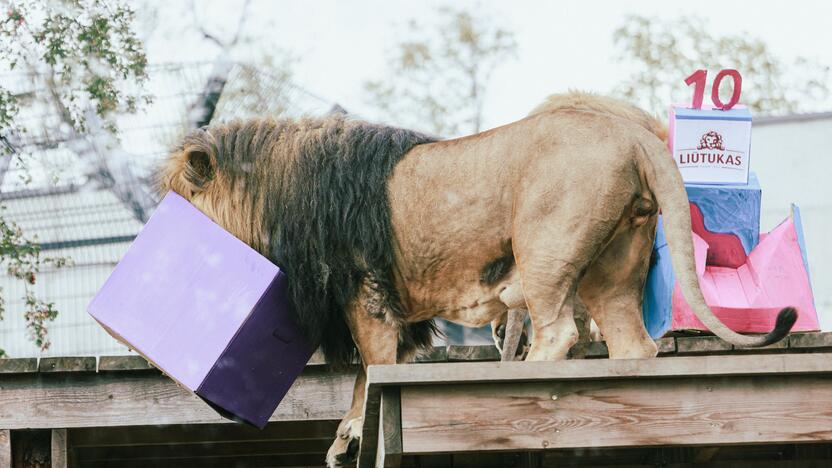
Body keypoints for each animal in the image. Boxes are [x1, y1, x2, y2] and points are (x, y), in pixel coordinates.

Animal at [158, 95, 800, 464]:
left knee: (559, 332)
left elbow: (372, 363)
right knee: (633, 346)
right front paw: (347, 437)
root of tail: (634, 134)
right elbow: (372, 374)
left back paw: (517, 380)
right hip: (612, 269)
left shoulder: (364, 290)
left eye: (176, 196)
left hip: (545, 249)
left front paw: (352, 434)